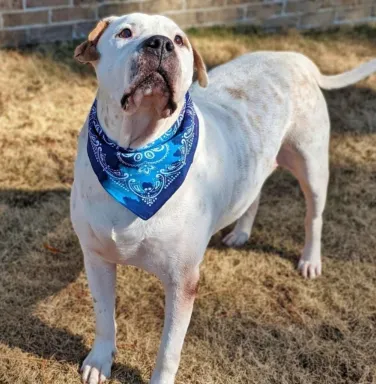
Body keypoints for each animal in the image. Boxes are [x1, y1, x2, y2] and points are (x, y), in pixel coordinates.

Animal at [70, 12, 376, 384]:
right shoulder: (97, 258)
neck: (138, 156)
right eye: (125, 32)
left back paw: (310, 260)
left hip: (313, 167)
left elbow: (169, 350)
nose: (160, 44)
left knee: (313, 217)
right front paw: (100, 361)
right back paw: (241, 233)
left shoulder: (183, 281)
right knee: (254, 195)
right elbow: (103, 318)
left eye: (180, 39)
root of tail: (292, 56)